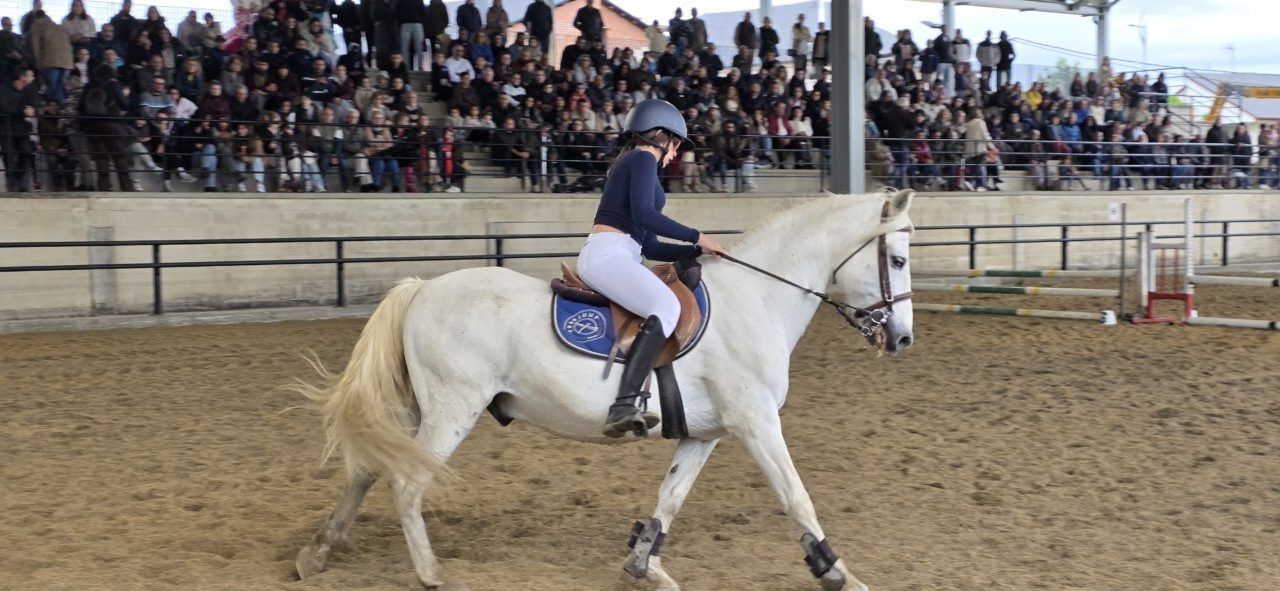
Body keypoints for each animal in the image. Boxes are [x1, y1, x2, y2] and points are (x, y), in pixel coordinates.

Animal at [292, 189, 917, 591]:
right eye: (898, 258)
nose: (903, 338)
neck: (756, 297)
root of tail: (423, 289)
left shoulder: (708, 433)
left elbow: (671, 497)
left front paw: (645, 566)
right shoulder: (757, 421)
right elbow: (795, 495)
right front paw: (837, 571)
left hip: (419, 410)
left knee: (369, 470)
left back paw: (316, 554)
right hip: (452, 410)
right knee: (406, 483)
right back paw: (429, 573)